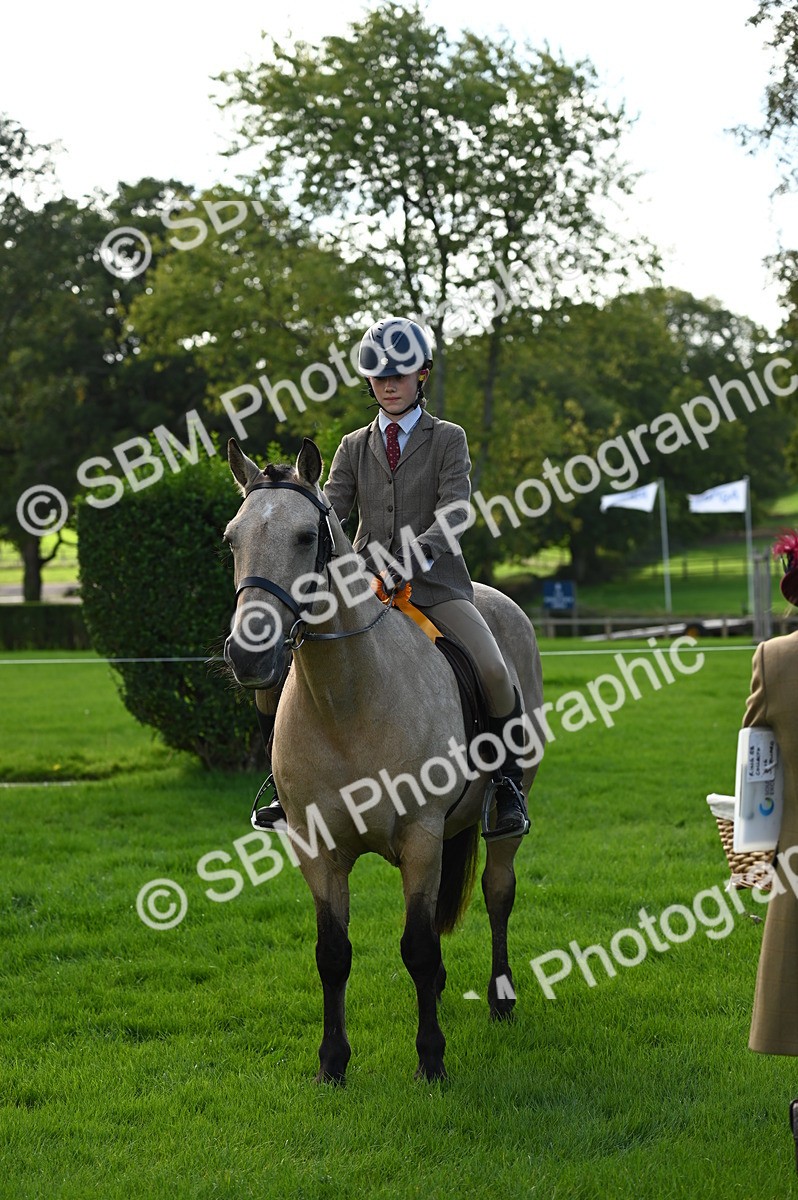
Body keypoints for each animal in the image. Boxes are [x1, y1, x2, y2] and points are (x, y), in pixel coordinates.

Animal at [222, 436, 544, 1083]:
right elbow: (333, 954)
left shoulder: (420, 836)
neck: (347, 700)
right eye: (231, 539)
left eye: (305, 537)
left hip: (505, 810)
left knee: (498, 891)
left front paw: (431, 1060)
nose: (248, 655)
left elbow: (416, 947)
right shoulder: (317, 849)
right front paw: (332, 1064)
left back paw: (501, 999)